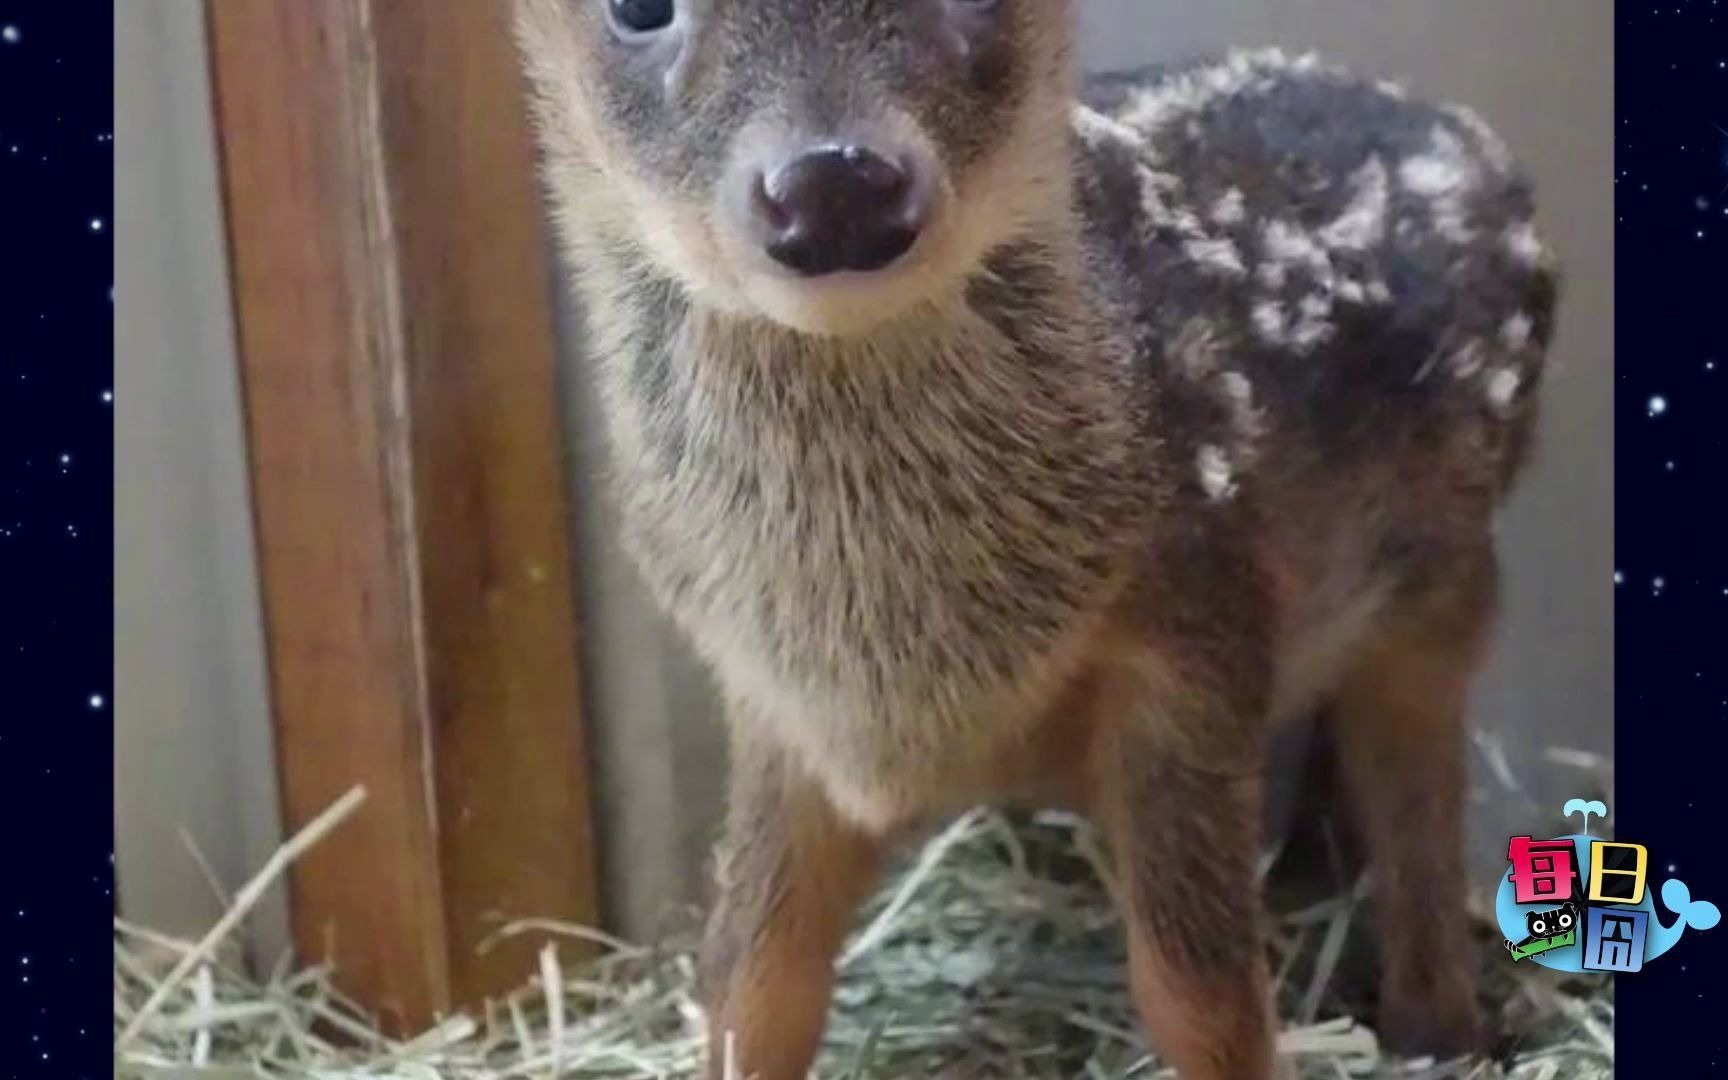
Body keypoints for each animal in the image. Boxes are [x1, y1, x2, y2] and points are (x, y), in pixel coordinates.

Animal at [518, 4, 1562, 1071]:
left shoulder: (1201, 627)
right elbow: (752, 981)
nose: (834, 181)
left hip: (1450, 566)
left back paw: (1439, 1029)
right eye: (639, 10)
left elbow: (1200, 992)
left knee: (1417, 790)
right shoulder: (773, 709)